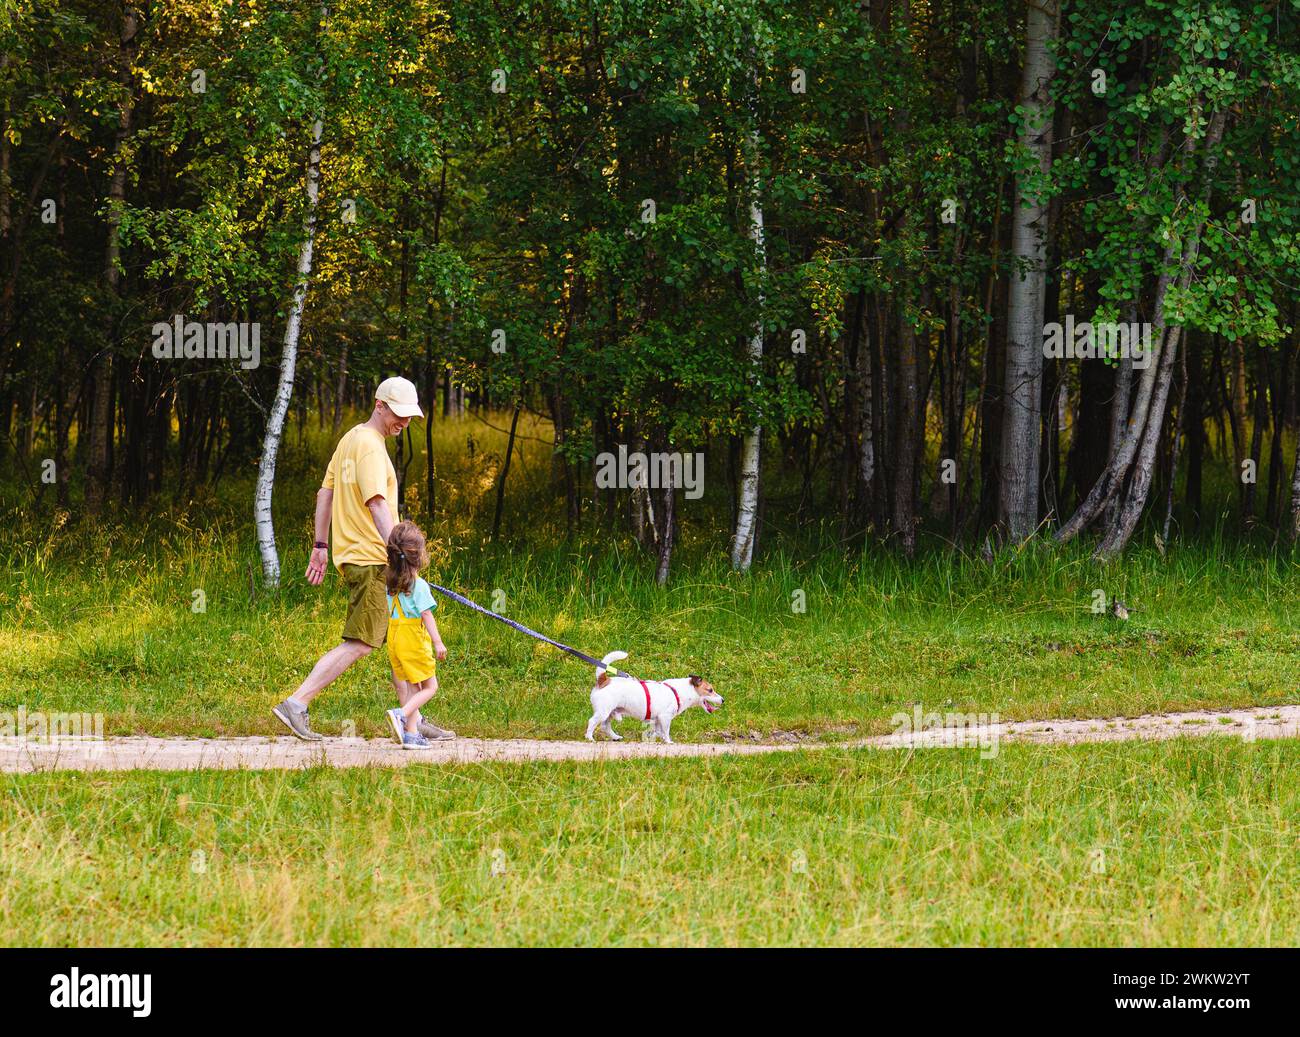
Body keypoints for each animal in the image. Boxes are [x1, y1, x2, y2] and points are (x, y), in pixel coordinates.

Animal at [587, 654, 728, 743]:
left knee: (605, 726)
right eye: (710, 690)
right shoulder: (665, 718)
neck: (678, 692)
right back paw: (589, 738)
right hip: (603, 711)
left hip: (610, 712)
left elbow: (657, 731)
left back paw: (615, 737)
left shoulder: (657, 720)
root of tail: (604, 680)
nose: (723, 700)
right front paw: (669, 741)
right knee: (592, 722)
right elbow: (666, 731)